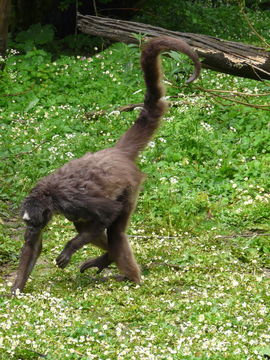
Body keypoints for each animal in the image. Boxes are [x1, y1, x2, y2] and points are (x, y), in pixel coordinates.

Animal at [11, 36, 200, 294]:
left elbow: (109, 212)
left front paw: (69, 248)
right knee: (86, 226)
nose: (28, 231)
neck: (48, 194)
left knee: (115, 230)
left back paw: (131, 278)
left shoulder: (70, 201)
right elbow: (34, 247)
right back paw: (109, 258)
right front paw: (15, 290)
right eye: (27, 224)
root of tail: (116, 152)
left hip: (129, 188)